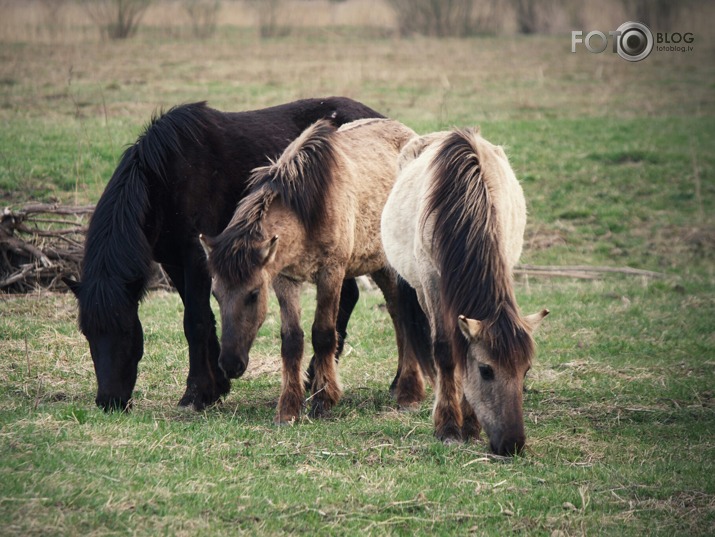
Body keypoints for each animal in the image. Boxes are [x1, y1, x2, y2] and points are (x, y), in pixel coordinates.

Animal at [61, 97, 386, 410]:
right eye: (87, 333)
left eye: (127, 331)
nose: (109, 401)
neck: (165, 177)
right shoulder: (175, 263)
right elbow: (206, 319)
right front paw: (215, 386)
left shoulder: (196, 258)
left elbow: (194, 322)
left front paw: (195, 393)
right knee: (349, 296)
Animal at [384, 127, 552, 454]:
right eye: (486, 370)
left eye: (525, 370)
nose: (512, 444)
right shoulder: (432, 282)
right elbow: (446, 351)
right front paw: (448, 427)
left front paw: (471, 426)